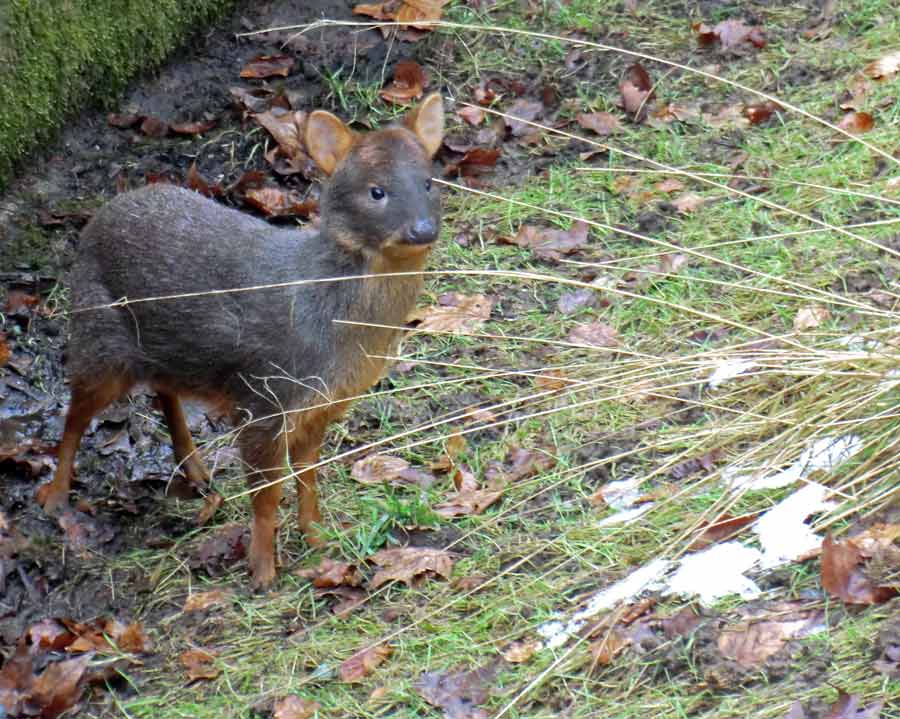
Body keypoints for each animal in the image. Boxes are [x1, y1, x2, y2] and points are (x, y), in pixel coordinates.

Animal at [38, 93, 446, 588]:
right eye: (376, 191)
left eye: (429, 182)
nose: (422, 229)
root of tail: (97, 218)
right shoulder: (263, 398)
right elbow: (266, 495)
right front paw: (264, 572)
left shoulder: (320, 405)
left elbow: (308, 477)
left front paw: (317, 540)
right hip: (98, 337)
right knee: (75, 414)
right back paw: (55, 496)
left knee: (162, 390)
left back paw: (194, 470)